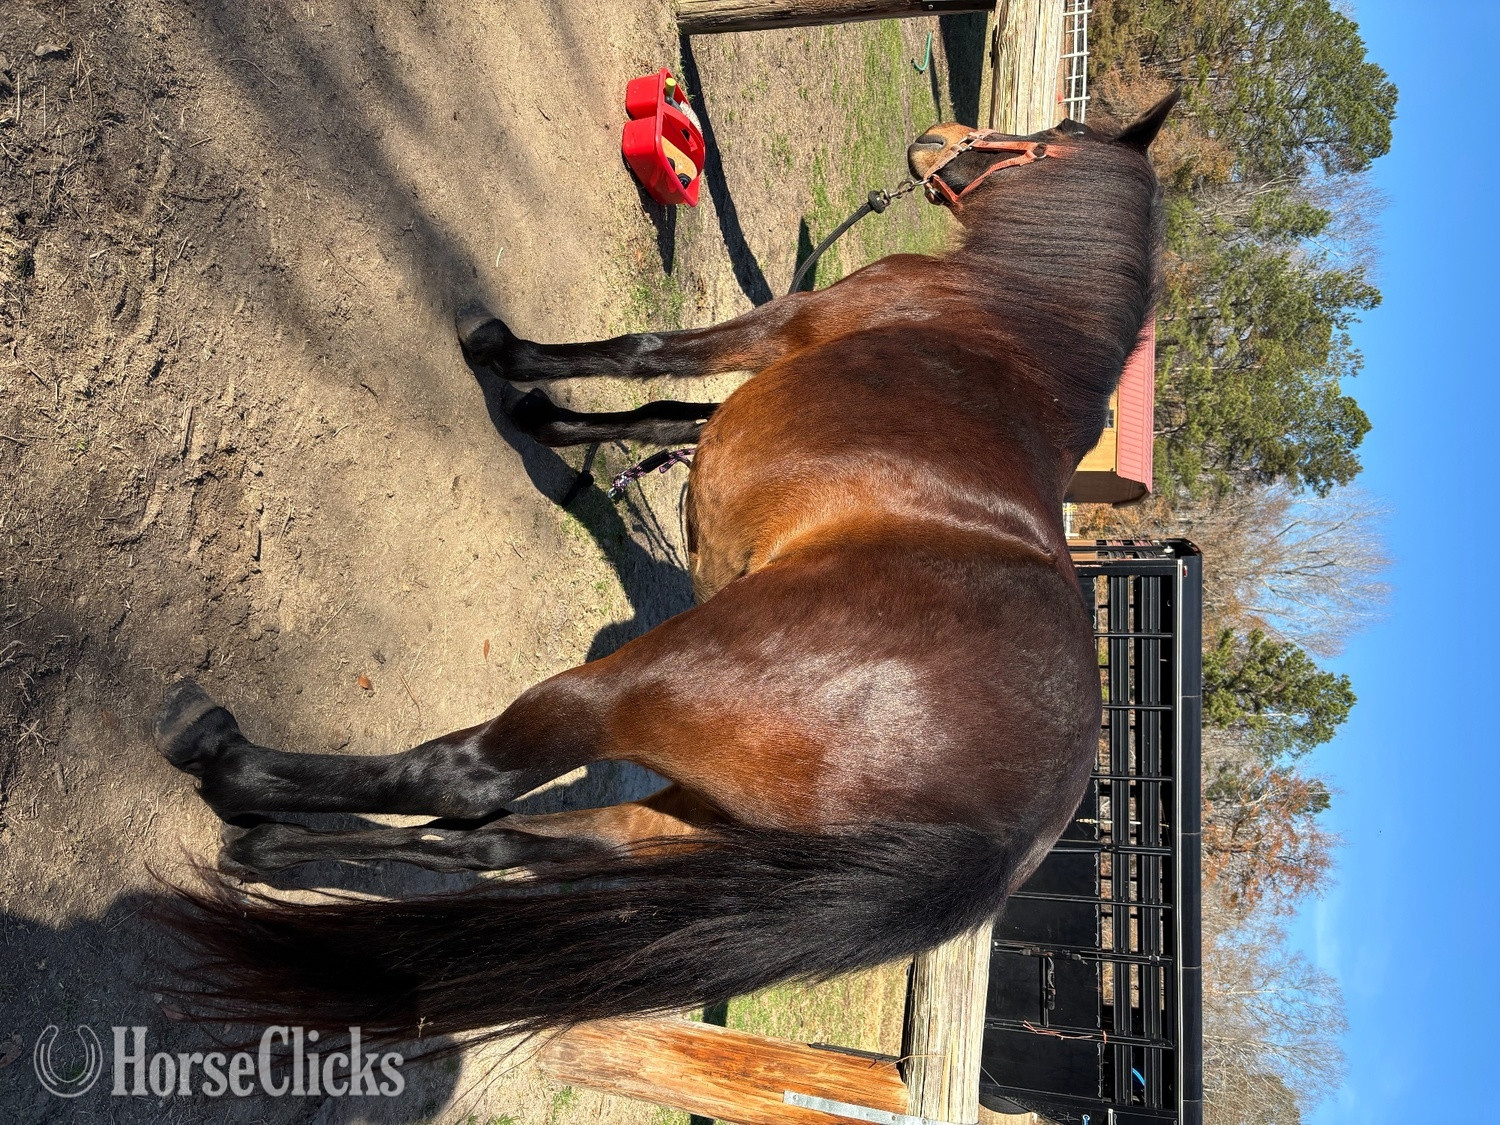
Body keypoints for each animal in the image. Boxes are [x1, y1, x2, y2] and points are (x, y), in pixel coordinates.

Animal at [153, 93, 1177, 1042]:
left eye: (1054, 129)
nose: (938, 137)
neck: (1003, 319)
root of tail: (998, 835)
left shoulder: (781, 327)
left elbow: (644, 357)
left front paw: (505, 356)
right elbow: (666, 413)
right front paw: (547, 419)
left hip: (629, 689)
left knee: (463, 782)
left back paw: (229, 766)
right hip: (689, 823)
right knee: (498, 842)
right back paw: (269, 850)